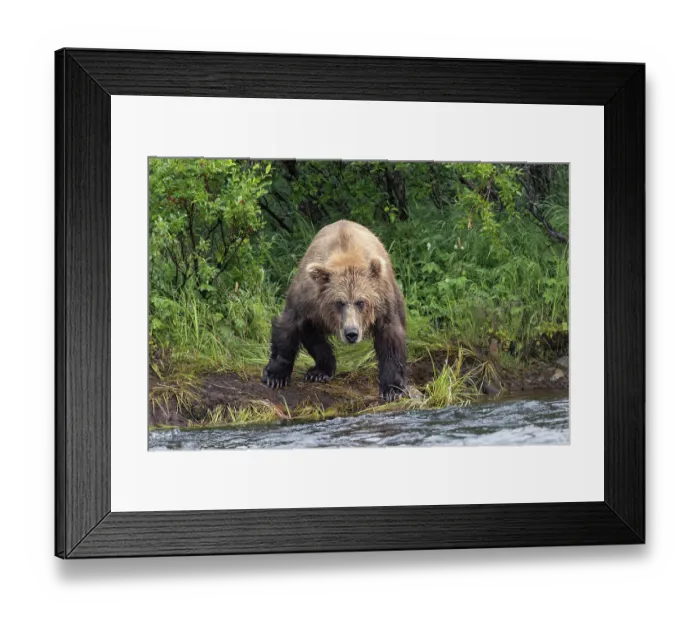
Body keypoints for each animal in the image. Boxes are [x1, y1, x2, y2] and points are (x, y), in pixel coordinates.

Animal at [262, 220, 408, 402]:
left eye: (361, 302)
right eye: (339, 302)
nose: (351, 333)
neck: (347, 255)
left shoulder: (383, 300)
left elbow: (390, 338)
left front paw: (392, 389)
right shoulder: (307, 297)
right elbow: (289, 325)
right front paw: (275, 376)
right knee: (312, 333)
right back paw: (320, 370)